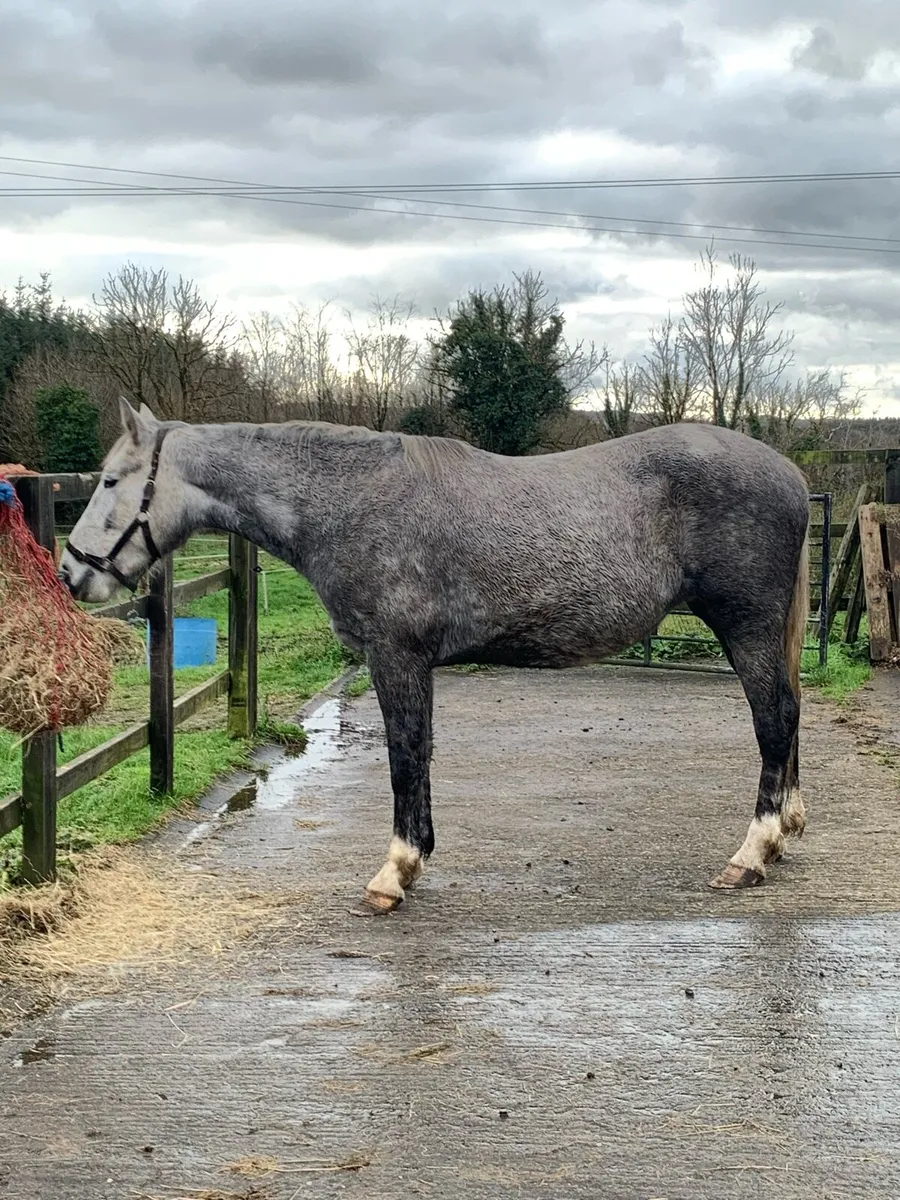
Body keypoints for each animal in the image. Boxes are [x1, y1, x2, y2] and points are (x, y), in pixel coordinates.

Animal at [61, 399, 810, 912]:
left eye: (110, 480)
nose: (71, 574)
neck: (351, 499)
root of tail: (792, 476)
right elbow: (416, 755)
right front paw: (413, 859)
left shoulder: (396, 656)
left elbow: (404, 755)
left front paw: (394, 872)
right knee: (789, 716)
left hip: (745, 626)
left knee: (773, 722)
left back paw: (752, 854)